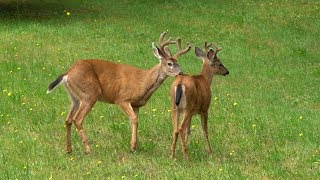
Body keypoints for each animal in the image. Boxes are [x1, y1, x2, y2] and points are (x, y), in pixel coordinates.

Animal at [45, 32, 190, 153]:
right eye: (170, 63)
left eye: (178, 62)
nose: (181, 73)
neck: (143, 82)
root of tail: (67, 74)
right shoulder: (122, 99)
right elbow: (134, 119)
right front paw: (133, 147)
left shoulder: (136, 104)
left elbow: (134, 121)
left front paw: (135, 146)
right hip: (89, 95)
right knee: (78, 119)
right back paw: (88, 149)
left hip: (75, 98)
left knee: (68, 119)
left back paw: (69, 149)